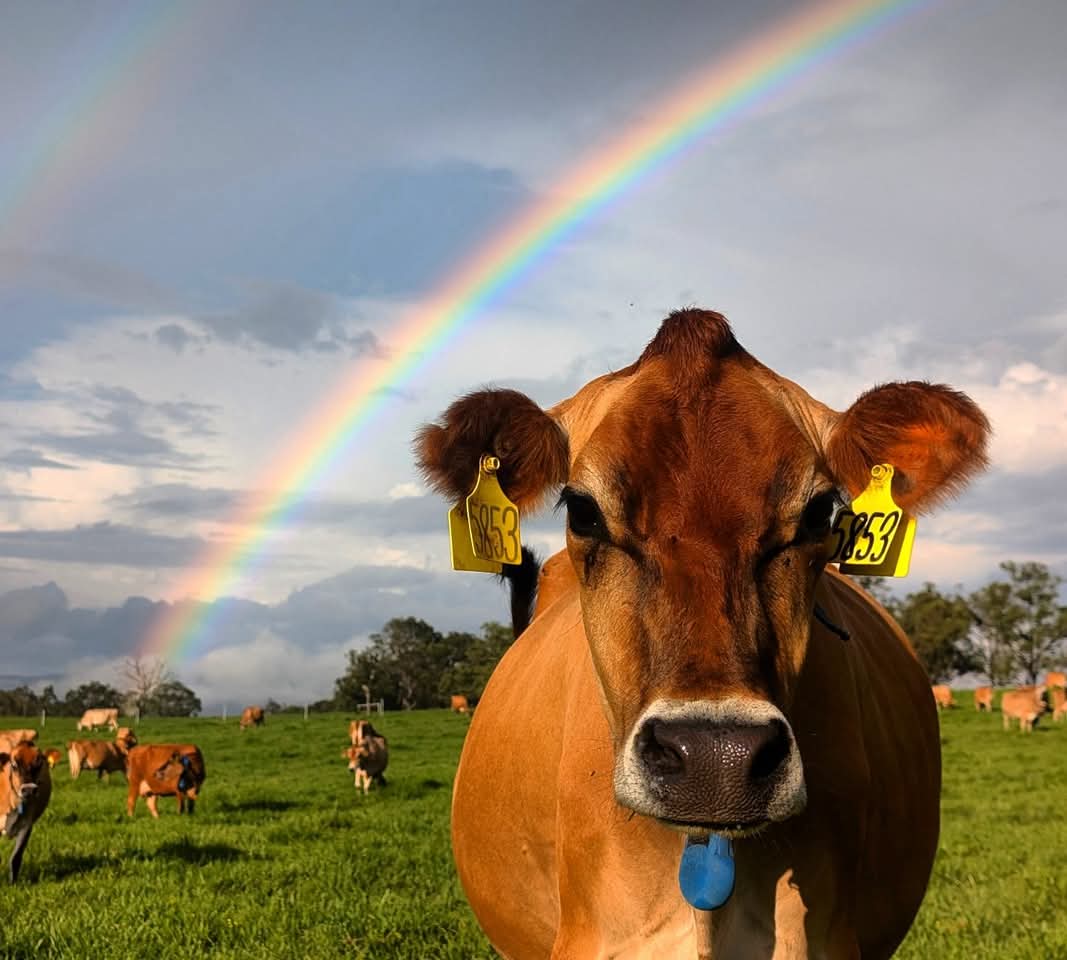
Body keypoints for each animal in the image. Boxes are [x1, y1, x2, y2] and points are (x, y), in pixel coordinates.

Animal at [0, 741, 52, 883]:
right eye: (14, 765)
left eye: (39, 763)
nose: (29, 790)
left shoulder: (27, 825)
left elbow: (16, 857)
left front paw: (13, 883)